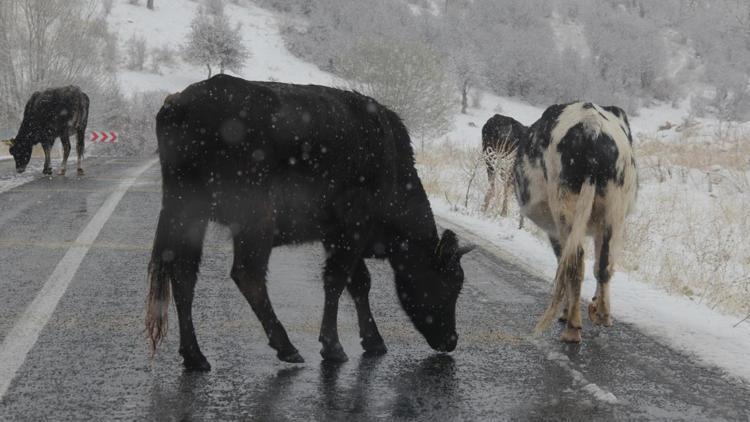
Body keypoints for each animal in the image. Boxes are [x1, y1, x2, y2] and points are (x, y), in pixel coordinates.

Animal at [147, 75, 476, 370]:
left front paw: (373, 341)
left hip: (188, 216)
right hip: (254, 219)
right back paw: (286, 347)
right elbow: (337, 281)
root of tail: (179, 102)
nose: (452, 340)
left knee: (184, 274)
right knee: (247, 273)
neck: (391, 165)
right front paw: (333, 347)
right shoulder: (353, 229)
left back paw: (195, 356)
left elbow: (359, 282)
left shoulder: (336, 236)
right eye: (452, 283)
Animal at [516, 101, 640, 342]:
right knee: (604, 263)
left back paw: (572, 327)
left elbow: (561, 262)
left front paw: (565, 312)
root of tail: (592, 127)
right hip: (613, 206)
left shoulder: (553, 230)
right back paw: (602, 315)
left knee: (574, 260)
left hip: (564, 206)